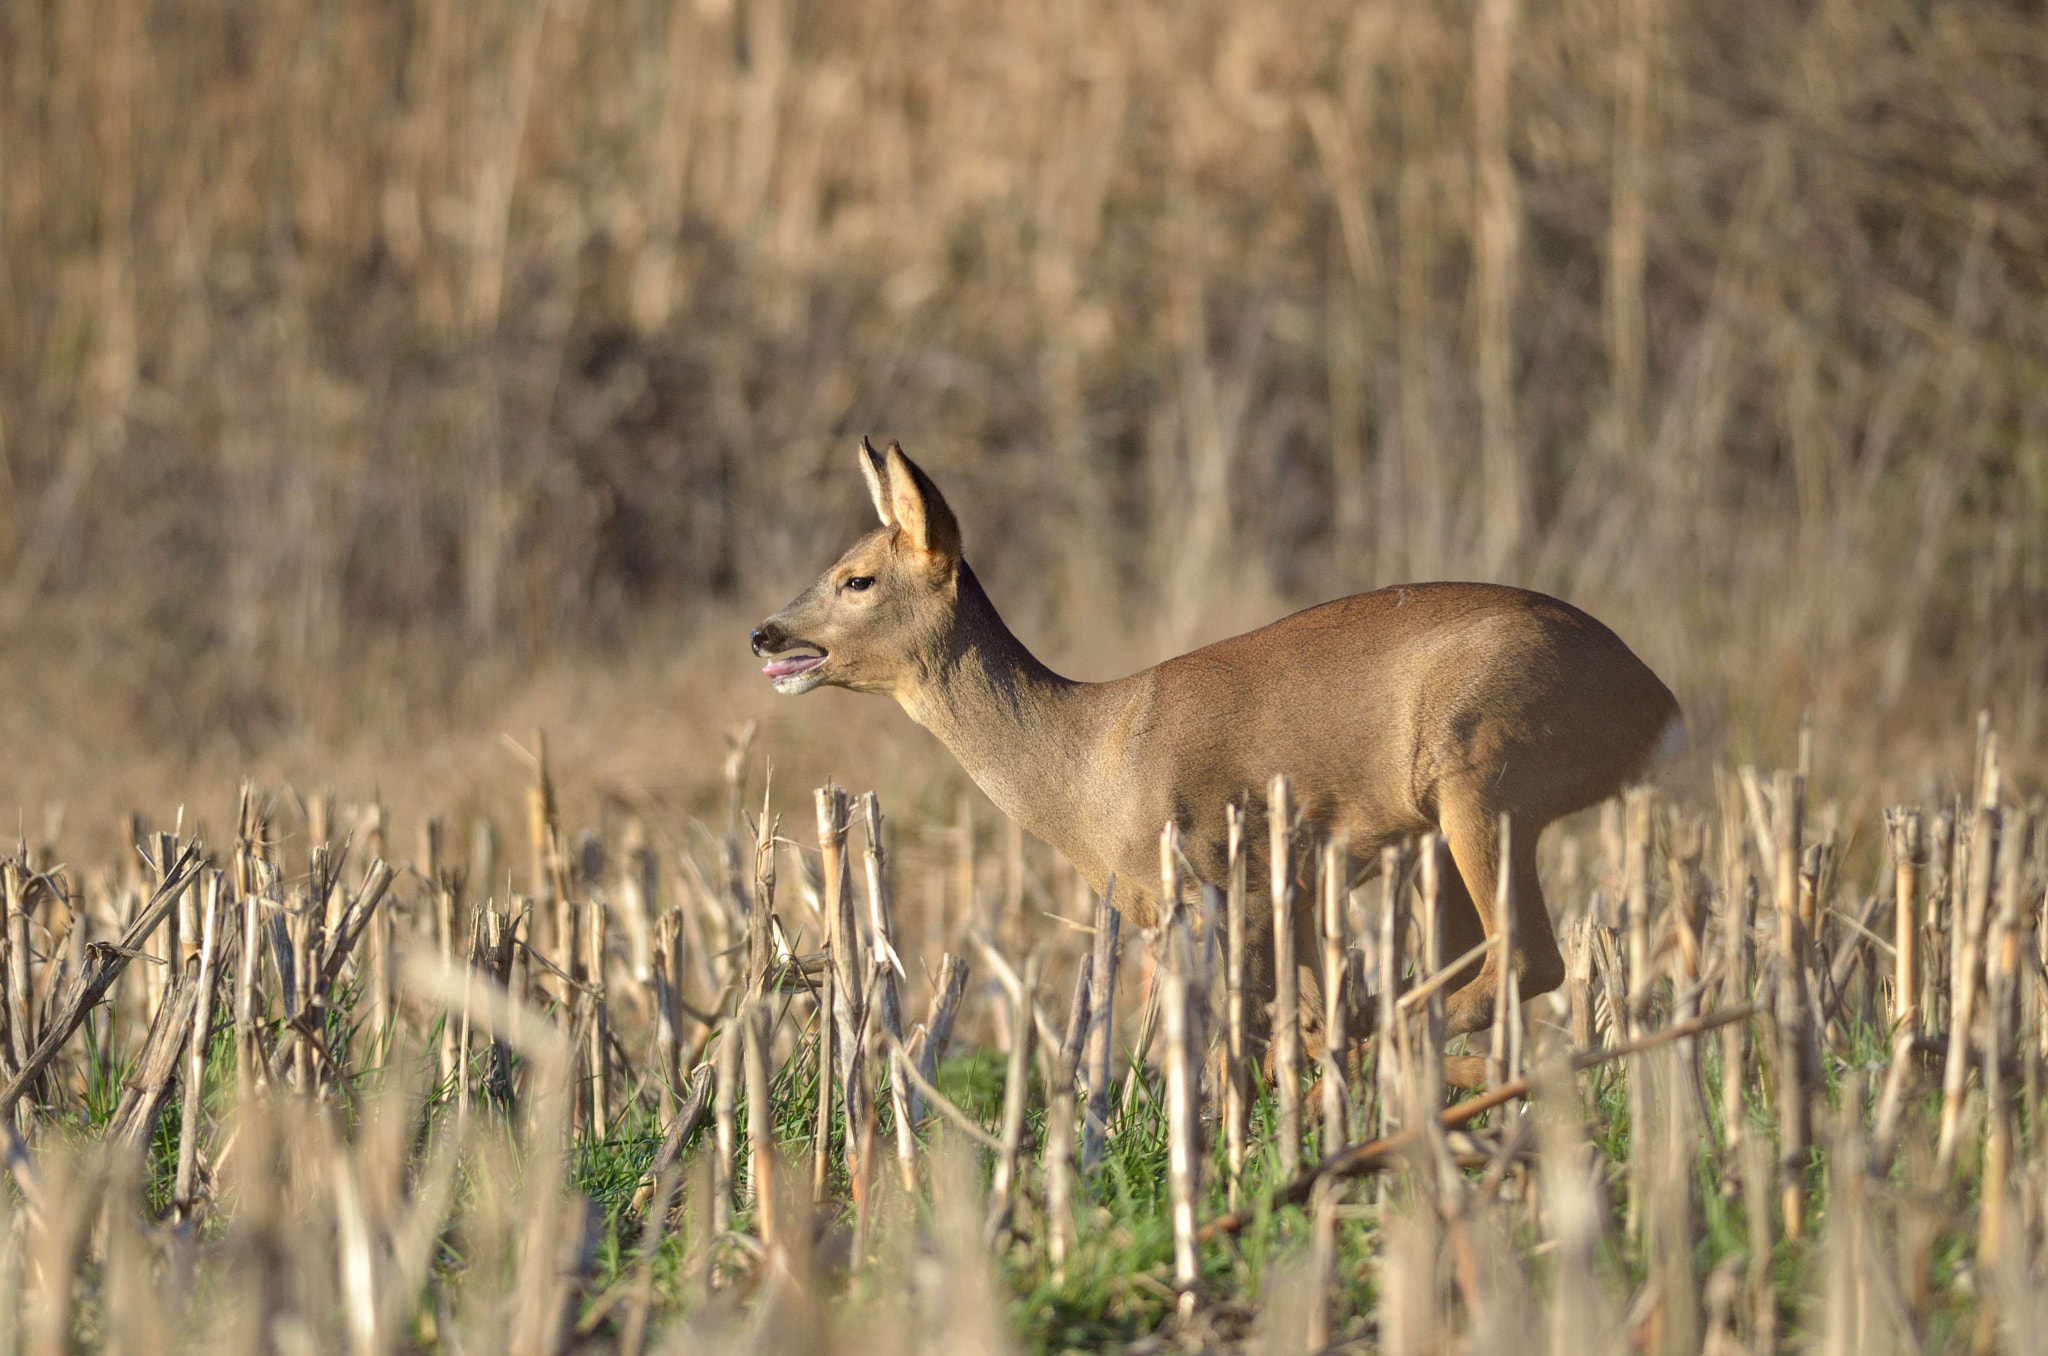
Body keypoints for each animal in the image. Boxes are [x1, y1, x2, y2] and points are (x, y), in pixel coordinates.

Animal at [753, 440, 1679, 1089]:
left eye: (856, 579)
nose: (765, 634)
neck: (1092, 757)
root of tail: (1658, 706)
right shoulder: (1276, 886)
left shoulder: (1231, 870)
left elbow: (1251, 1035)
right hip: (1436, 829)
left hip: (1482, 772)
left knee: (1525, 959)